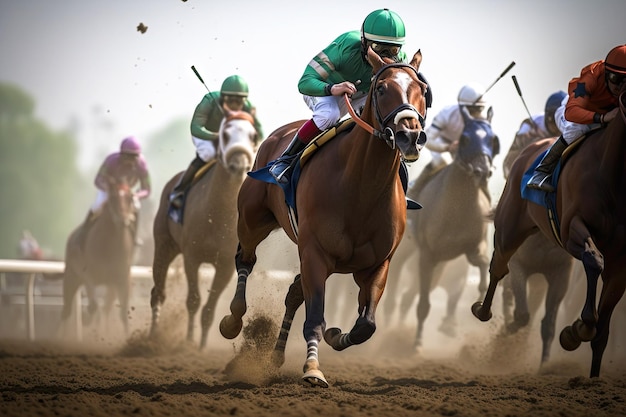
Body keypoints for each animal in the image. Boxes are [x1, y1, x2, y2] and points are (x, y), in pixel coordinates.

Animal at [61, 176, 136, 334]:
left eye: (130, 197)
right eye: (113, 196)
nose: (123, 219)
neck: (109, 247)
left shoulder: (123, 279)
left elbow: (123, 314)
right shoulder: (88, 276)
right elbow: (93, 306)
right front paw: (87, 320)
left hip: (110, 286)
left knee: (106, 309)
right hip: (71, 277)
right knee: (67, 311)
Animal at [149, 109, 258, 348]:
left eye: (253, 135)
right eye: (225, 134)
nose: (239, 164)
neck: (217, 215)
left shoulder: (225, 265)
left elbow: (209, 309)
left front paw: (201, 347)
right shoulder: (192, 257)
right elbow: (193, 300)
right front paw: (189, 341)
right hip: (164, 245)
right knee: (158, 292)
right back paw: (151, 335)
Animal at [217, 49, 426, 386]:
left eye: (422, 89)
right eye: (382, 89)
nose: (410, 135)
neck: (361, 188)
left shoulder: (378, 263)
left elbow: (366, 325)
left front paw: (337, 335)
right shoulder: (315, 253)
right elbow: (315, 317)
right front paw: (313, 368)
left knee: (293, 292)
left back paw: (275, 357)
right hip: (252, 219)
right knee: (245, 260)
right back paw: (233, 319)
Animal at [472, 87, 624, 376]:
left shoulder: (560, 273)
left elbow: (549, 325)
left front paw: (555, 356)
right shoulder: (524, 265)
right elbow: (522, 315)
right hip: (509, 232)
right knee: (499, 268)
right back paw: (483, 312)